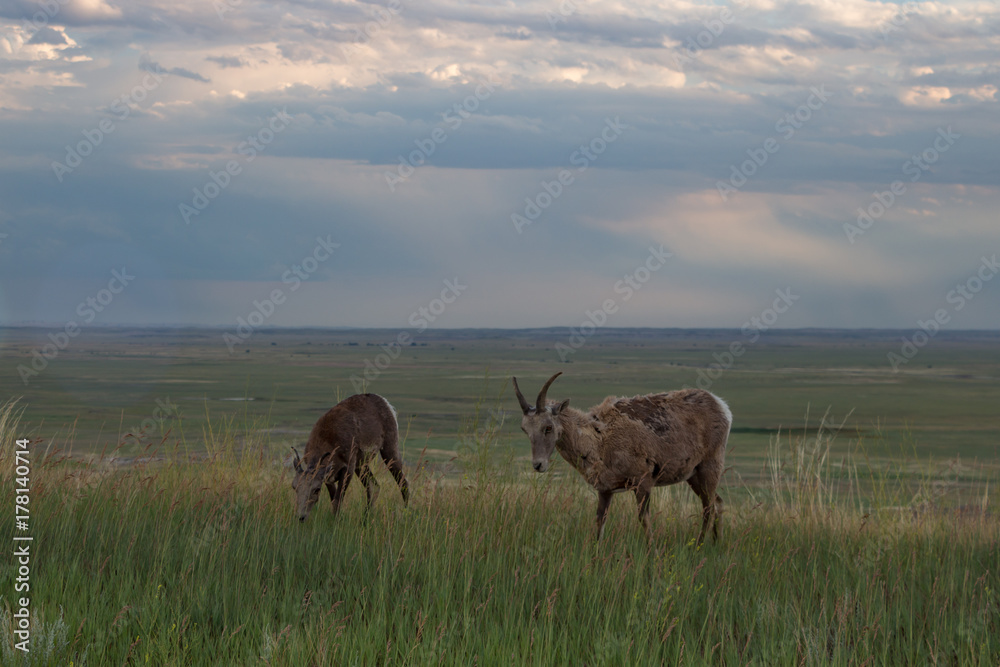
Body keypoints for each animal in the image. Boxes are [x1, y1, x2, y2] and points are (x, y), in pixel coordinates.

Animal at [292, 394, 408, 524]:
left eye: (316, 489)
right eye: (294, 487)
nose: (301, 517)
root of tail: (386, 404)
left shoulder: (348, 469)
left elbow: (337, 502)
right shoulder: (329, 478)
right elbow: (333, 500)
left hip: (389, 451)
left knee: (403, 484)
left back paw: (404, 516)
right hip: (361, 465)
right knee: (374, 486)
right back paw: (364, 520)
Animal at [512, 374, 732, 544]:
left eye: (548, 427)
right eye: (524, 429)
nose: (538, 465)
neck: (600, 440)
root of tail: (722, 407)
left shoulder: (643, 483)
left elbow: (645, 521)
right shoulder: (605, 491)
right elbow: (599, 524)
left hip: (709, 469)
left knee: (708, 509)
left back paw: (699, 546)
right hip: (694, 477)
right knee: (717, 503)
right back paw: (716, 544)